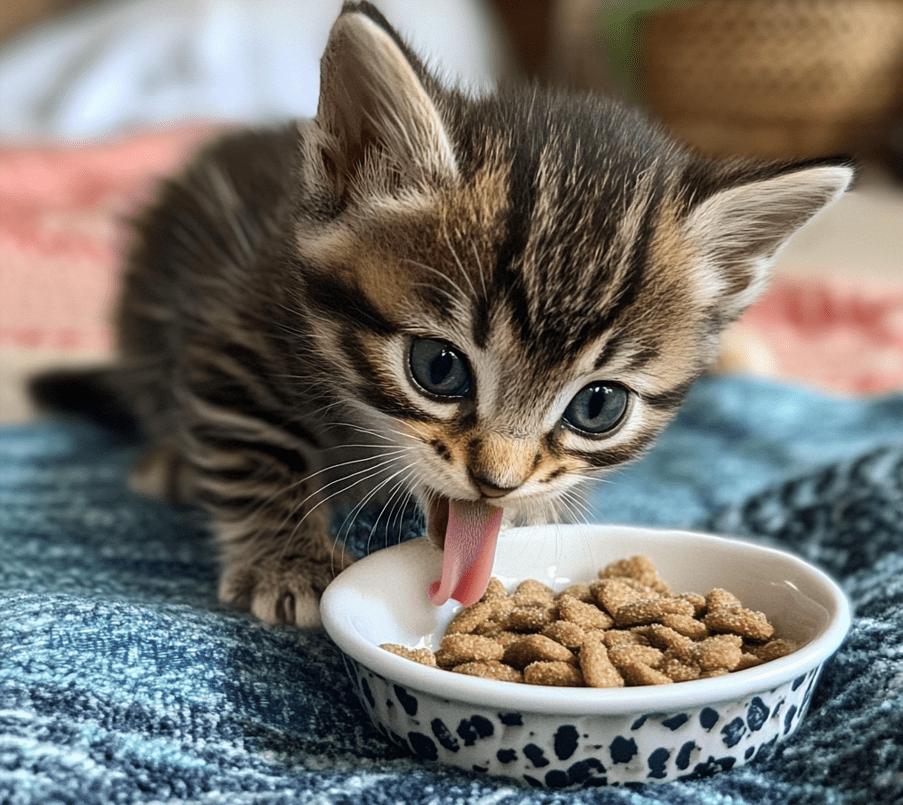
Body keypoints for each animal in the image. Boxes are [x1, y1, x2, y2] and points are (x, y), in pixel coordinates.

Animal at [33, 1, 856, 628]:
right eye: (438, 368)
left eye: (598, 407)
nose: (496, 484)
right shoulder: (239, 339)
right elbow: (255, 450)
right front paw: (288, 559)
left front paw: (535, 514)